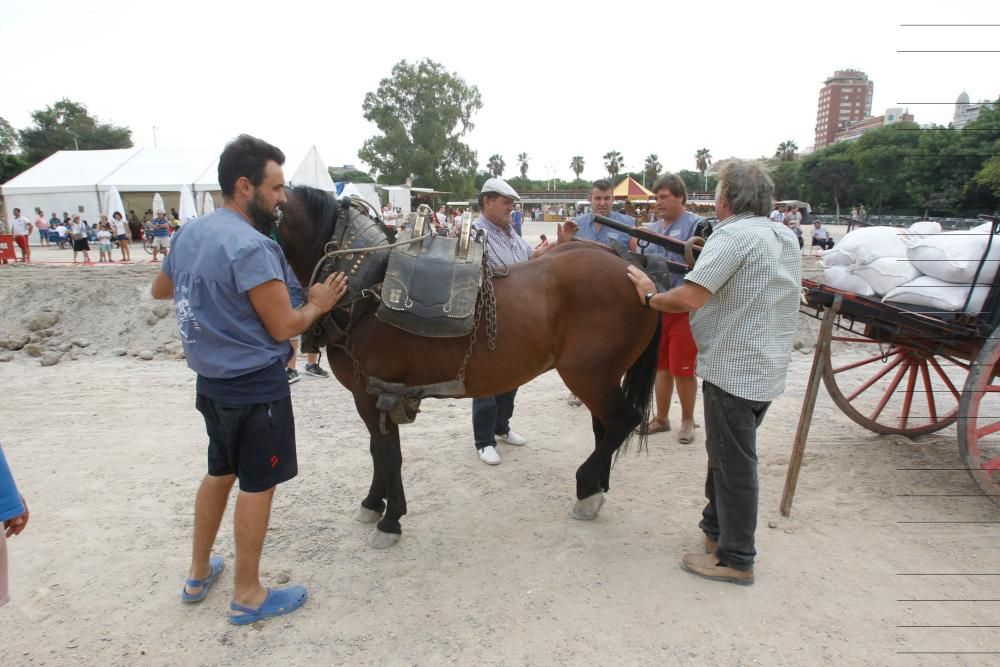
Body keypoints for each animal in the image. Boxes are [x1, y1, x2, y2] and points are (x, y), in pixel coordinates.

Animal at [278, 187, 660, 548]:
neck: (364, 286)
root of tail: (633, 270)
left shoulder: (371, 393)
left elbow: (388, 455)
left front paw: (390, 519)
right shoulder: (374, 395)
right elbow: (378, 451)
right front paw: (373, 503)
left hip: (588, 376)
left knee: (621, 421)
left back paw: (585, 486)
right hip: (600, 378)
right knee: (604, 428)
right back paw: (595, 488)